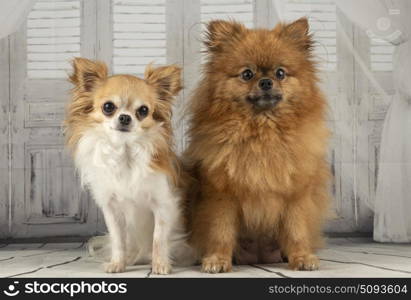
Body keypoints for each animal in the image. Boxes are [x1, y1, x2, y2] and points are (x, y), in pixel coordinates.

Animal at [64, 57, 193, 274]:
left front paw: (160, 265)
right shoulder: (112, 209)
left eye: (143, 111)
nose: (125, 117)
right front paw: (118, 263)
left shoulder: (164, 204)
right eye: (108, 107)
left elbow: (158, 239)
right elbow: (118, 240)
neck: (124, 153)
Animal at [186, 17, 332, 274]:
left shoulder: (295, 196)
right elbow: (220, 232)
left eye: (280, 73)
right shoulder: (221, 197)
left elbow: (296, 231)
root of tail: (259, 256)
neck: (262, 133)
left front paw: (302, 257)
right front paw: (217, 260)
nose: (265, 81)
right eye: (247, 74)